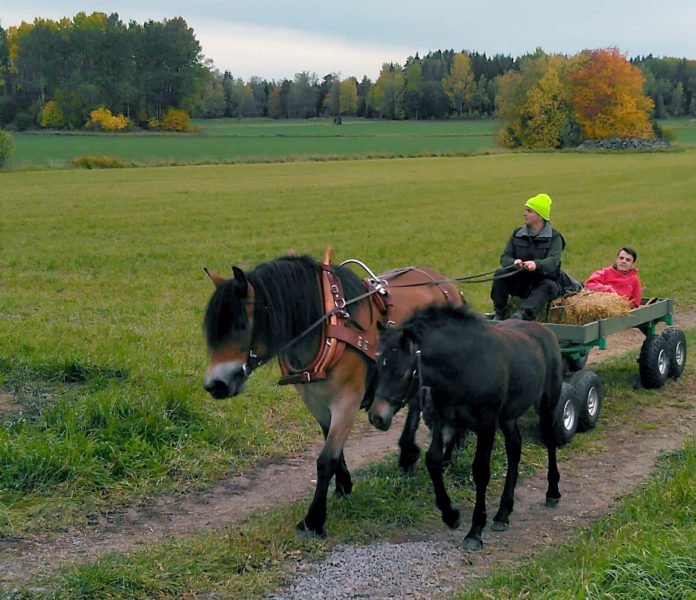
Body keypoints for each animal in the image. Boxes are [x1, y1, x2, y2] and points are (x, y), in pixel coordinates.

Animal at [201, 246, 462, 536]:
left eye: (240, 325)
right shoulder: (315, 401)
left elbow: (326, 459)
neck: (328, 331)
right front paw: (343, 485)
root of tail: (446, 283)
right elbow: (332, 446)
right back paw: (408, 454)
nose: (215, 384)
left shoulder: (347, 401)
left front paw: (313, 519)